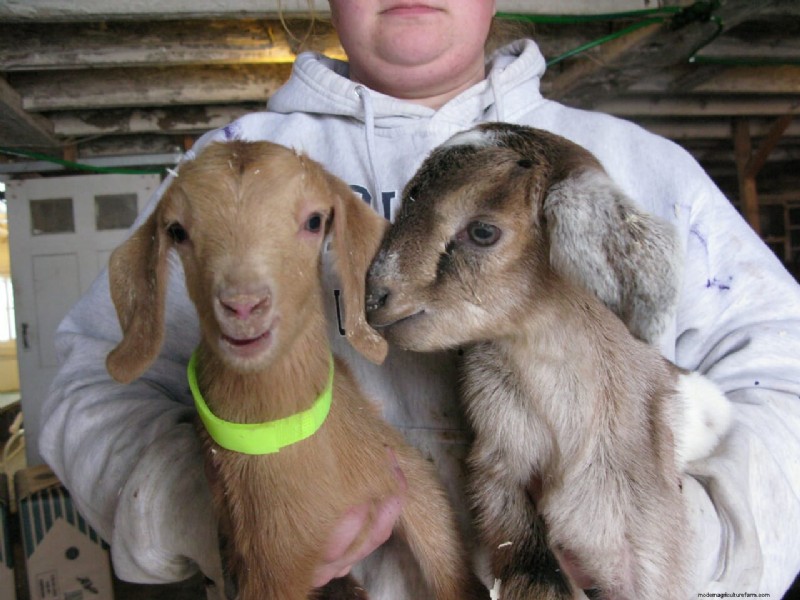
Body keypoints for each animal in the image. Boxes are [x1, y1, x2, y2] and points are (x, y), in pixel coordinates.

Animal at [105, 140, 488, 600]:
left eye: (314, 221)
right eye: (177, 231)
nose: (243, 306)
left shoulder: (410, 476)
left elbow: (444, 555)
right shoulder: (269, 569)